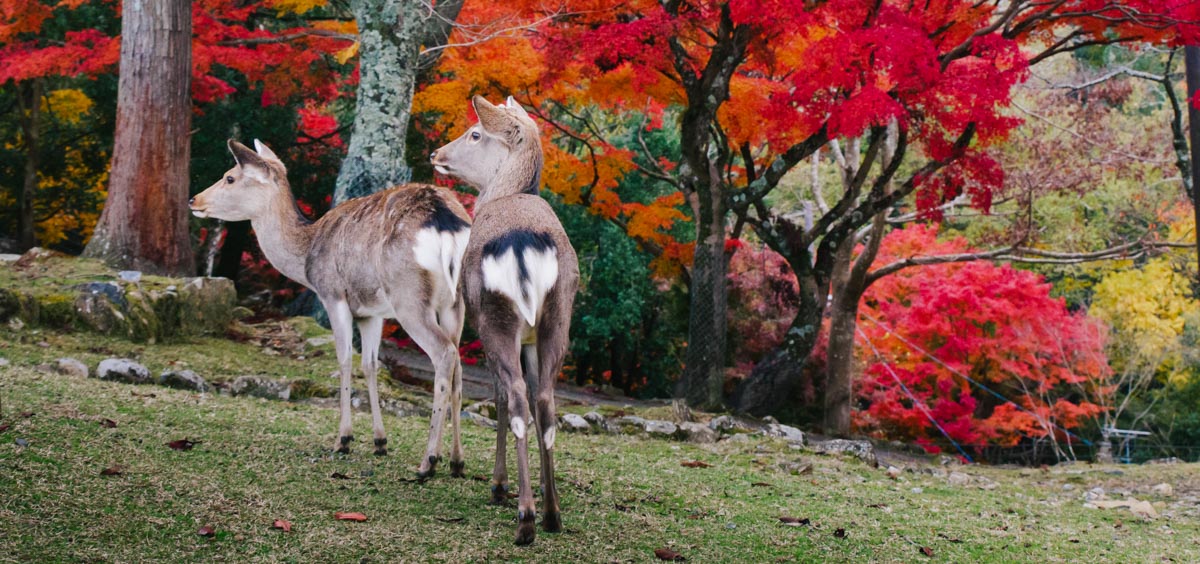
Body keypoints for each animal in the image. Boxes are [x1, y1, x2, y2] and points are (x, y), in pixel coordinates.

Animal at [188, 138, 468, 477]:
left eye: (230, 177)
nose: (193, 199)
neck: (307, 253)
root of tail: (447, 224)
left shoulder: (333, 294)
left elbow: (344, 359)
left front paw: (343, 439)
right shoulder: (371, 312)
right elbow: (370, 364)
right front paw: (380, 442)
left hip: (409, 297)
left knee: (444, 353)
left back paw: (428, 461)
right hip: (456, 303)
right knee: (459, 364)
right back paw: (456, 460)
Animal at [432, 94, 580, 544]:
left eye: (475, 133)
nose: (436, 154)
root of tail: (521, 243)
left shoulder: (484, 327)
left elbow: (498, 397)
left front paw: (499, 485)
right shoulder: (531, 339)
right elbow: (535, 398)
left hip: (496, 319)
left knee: (513, 398)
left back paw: (524, 516)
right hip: (557, 319)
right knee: (545, 401)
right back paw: (551, 513)